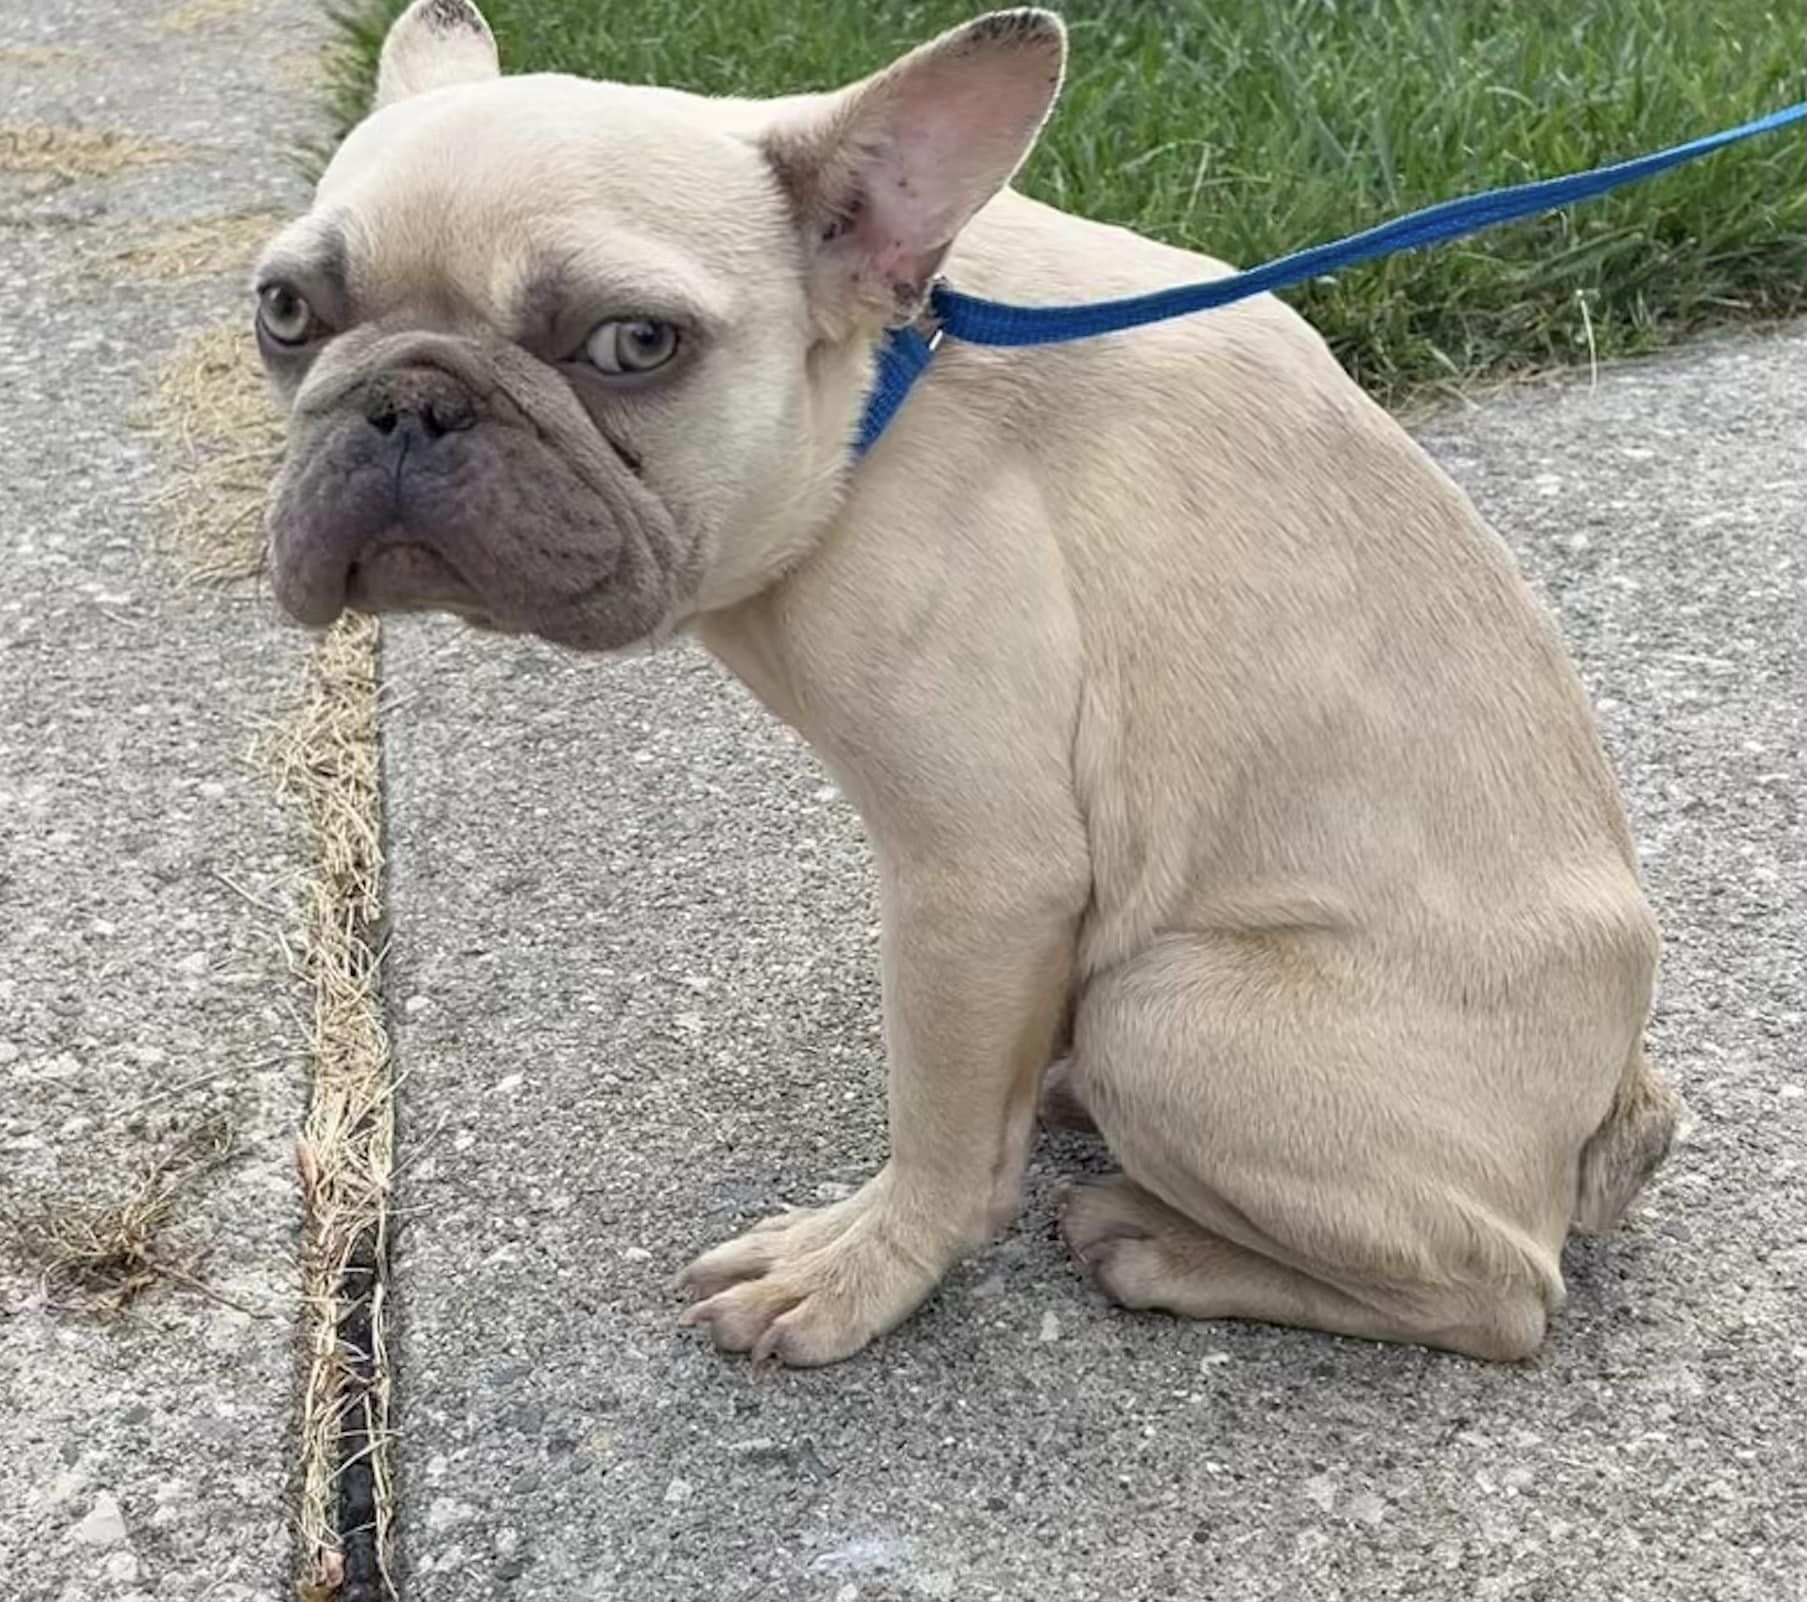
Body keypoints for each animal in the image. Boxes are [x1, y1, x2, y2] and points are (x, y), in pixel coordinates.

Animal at [262, 6, 1684, 1372]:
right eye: (283, 313)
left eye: (632, 342)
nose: (407, 401)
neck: (880, 380)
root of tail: (1609, 1109)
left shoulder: (979, 880)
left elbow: (941, 1129)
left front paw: (861, 1270)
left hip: (1169, 1014)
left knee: (1497, 1295)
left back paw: (1160, 1246)